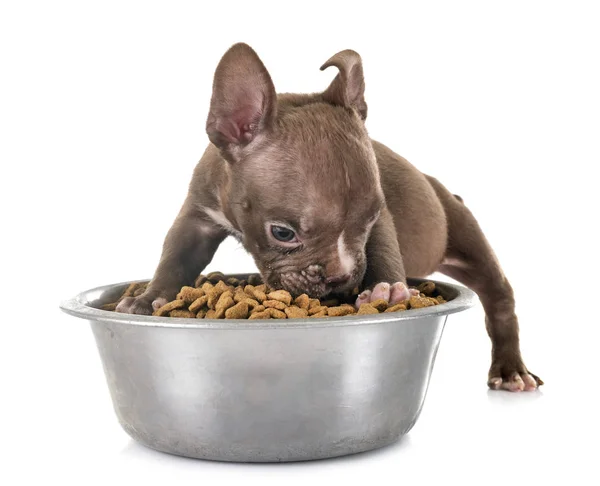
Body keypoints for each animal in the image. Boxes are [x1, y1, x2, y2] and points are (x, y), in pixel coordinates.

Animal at [117, 41, 544, 392]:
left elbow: (384, 247)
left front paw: (387, 289)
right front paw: (151, 297)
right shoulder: (199, 217)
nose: (341, 277)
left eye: (370, 220)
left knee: (498, 296)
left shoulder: (382, 222)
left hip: (463, 231)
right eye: (282, 233)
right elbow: (177, 257)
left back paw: (511, 369)